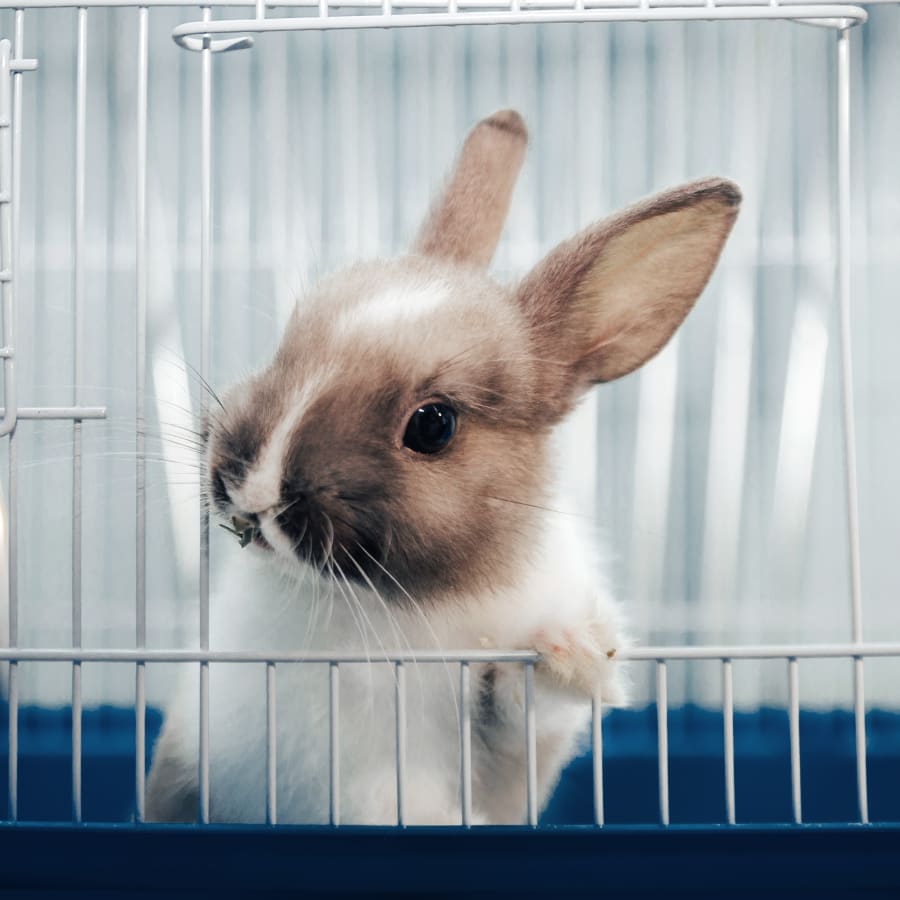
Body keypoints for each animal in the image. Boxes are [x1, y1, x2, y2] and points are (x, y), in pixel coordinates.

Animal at [146, 109, 740, 828]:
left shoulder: (509, 736)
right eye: (286, 345)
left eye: (433, 425)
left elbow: (520, 705)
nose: (252, 487)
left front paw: (572, 651)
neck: (403, 601)